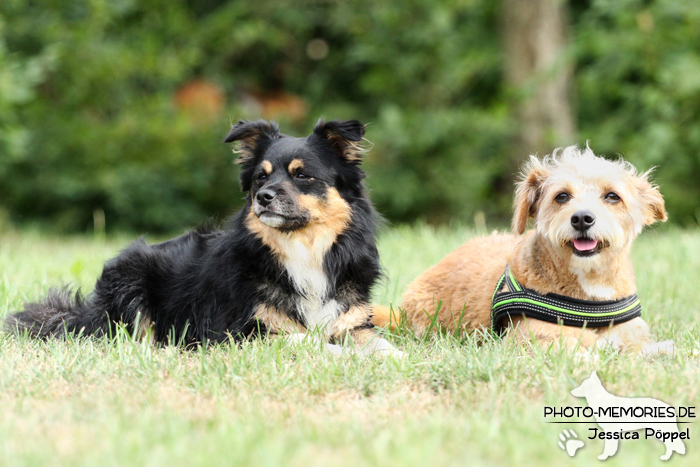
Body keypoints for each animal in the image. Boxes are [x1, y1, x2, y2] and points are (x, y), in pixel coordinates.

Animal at [8, 119, 400, 356]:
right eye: (261, 177)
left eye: (302, 175)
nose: (263, 197)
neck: (303, 247)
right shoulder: (244, 332)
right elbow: (309, 342)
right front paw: (346, 356)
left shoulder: (352, 320)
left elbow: (380, 344)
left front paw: (394, 356)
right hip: (130, 279)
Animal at [374, 146, 668, 354]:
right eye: (562, 196)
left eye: (612, 196)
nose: (582, 218)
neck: (590, 288)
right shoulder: (530, 339)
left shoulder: (632, 334)